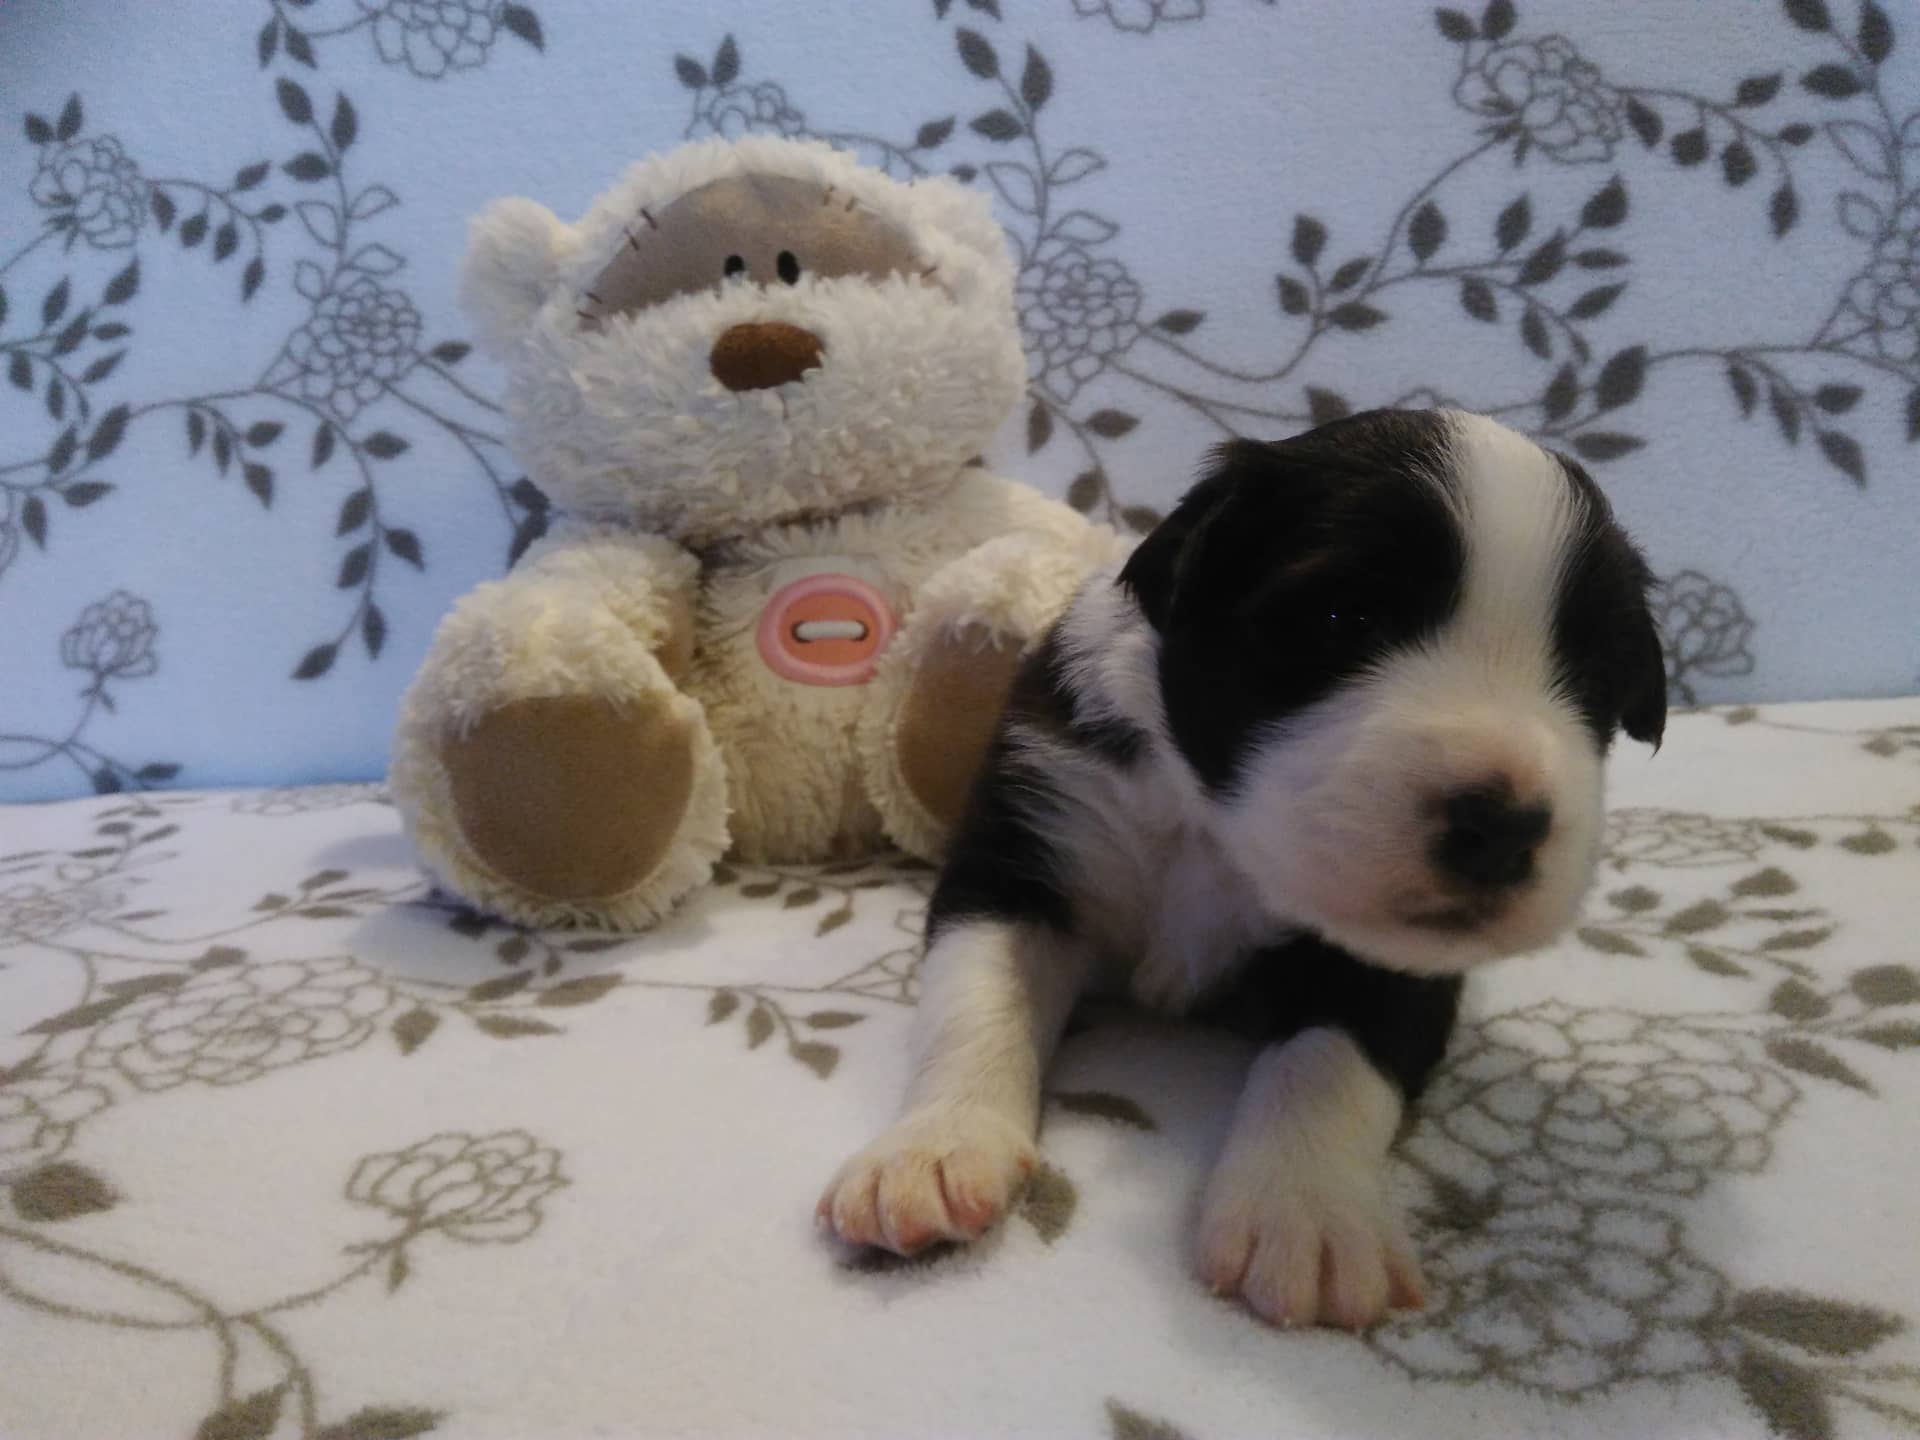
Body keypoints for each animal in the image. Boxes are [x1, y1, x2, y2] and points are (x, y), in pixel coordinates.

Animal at [817, 409, 1668, 1330]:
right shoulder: (1024, 849)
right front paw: (932, 1151)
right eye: (1344, 617)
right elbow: (975, 998)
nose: (1503, 827)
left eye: (1594, 673)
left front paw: (1308, 1216)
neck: (1216, 838)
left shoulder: (1400, 961)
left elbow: (1330, 1061)